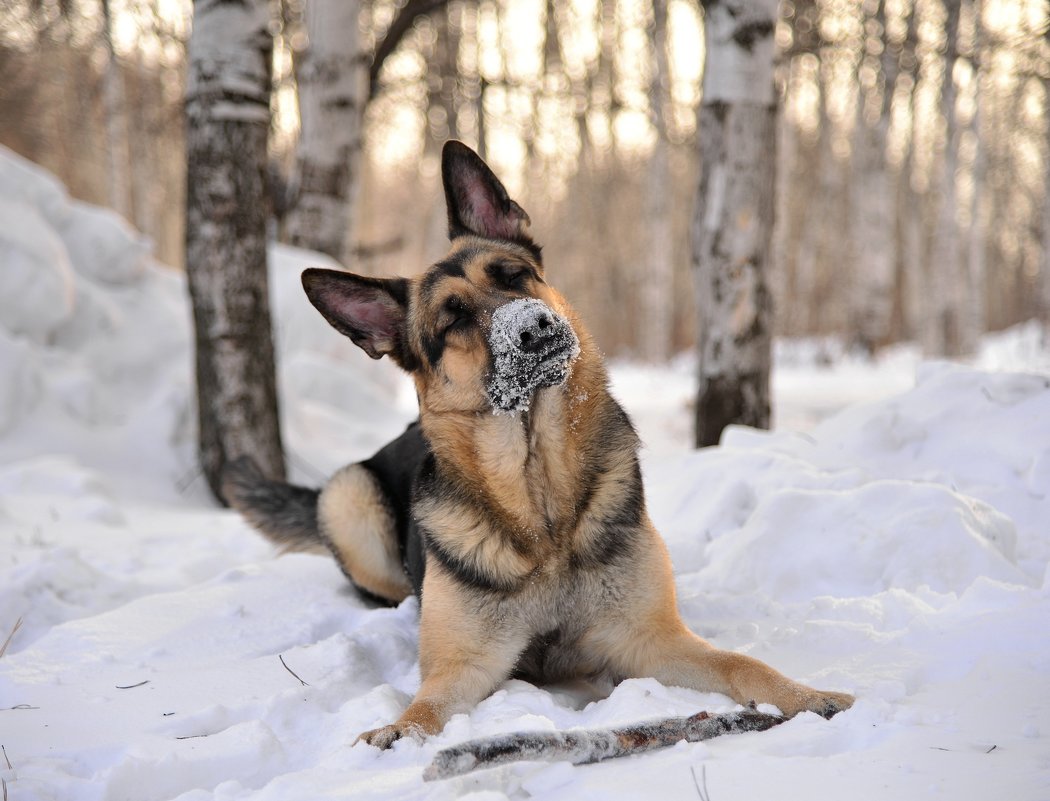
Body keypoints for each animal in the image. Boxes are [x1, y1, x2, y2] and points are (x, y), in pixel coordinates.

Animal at [223, 140, 852, 747]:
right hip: (348, 494)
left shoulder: (649, 640)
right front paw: (395, 735)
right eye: (453, 318)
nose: (535, 326)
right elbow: (425, 707)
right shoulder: (465, 665)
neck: (539, 487)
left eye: (513, 275)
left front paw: (806, 696)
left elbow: (743, 664)